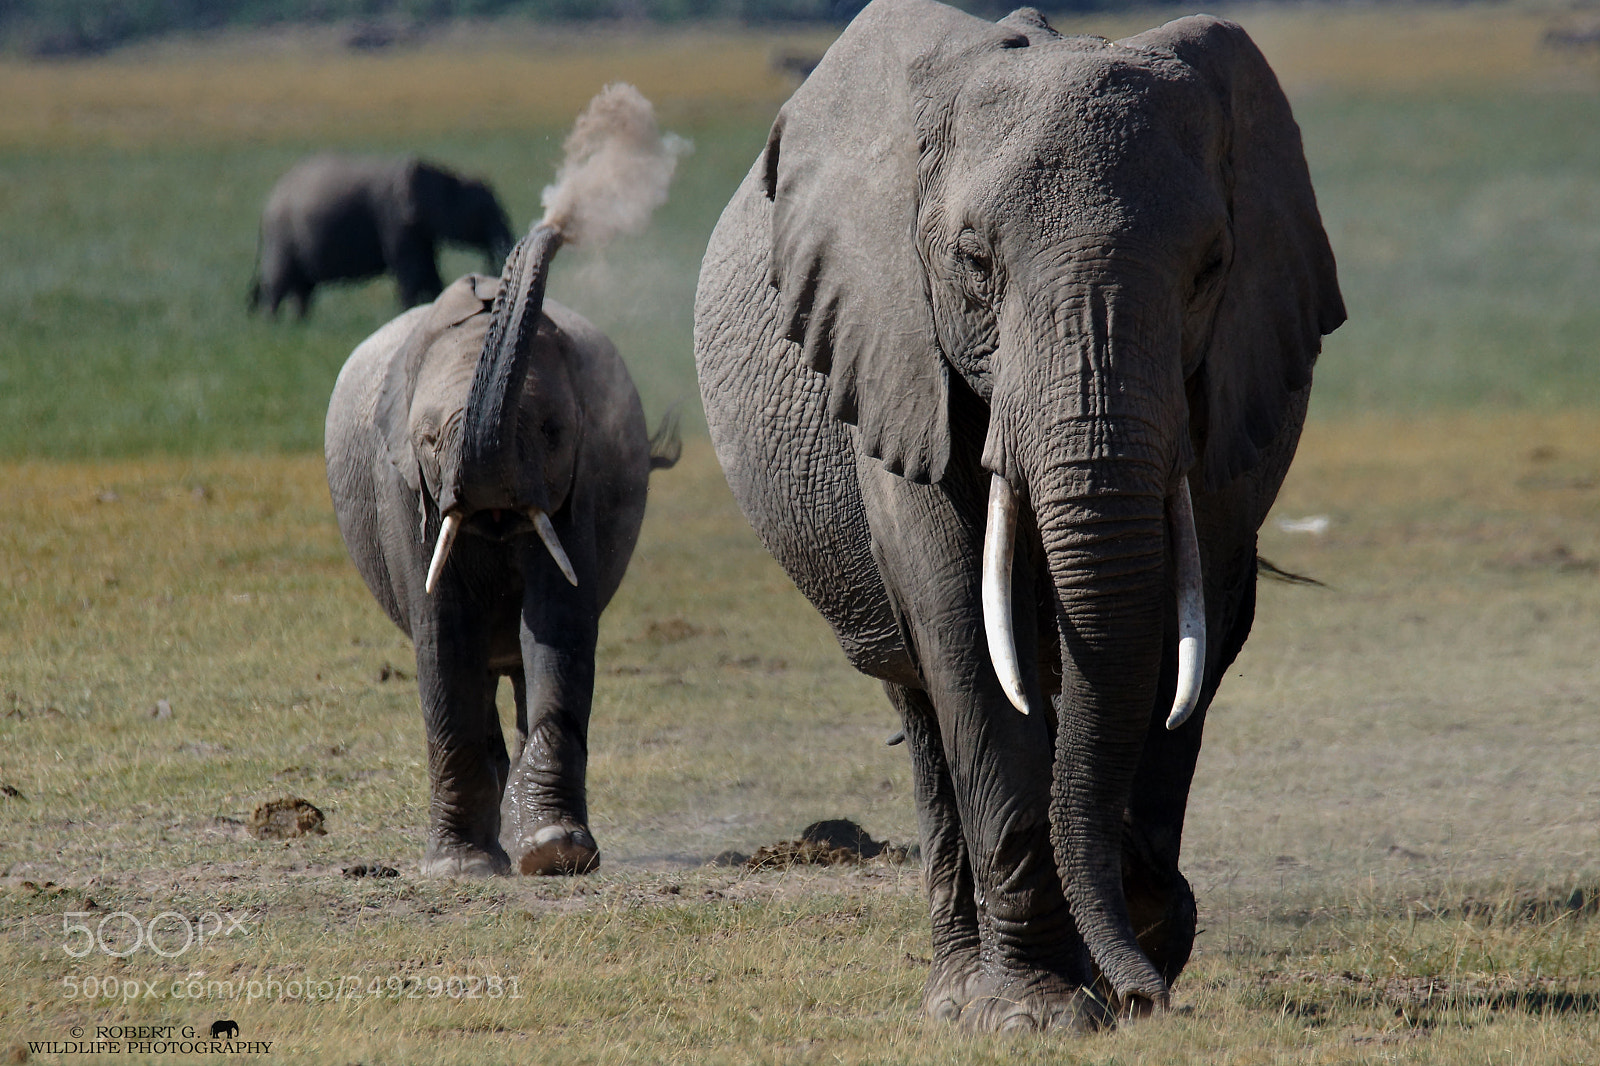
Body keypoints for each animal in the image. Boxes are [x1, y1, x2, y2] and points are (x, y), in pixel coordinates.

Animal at [251, 155, 515, 317]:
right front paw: (409, 311)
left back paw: (299, 323)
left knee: (302, 289)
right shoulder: (394, 218)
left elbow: (429, 271)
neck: (439, 173)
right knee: (278, 284)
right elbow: (412, 271)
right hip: (282, 236)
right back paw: (272, 327)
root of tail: (267, 204)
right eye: (483, 211)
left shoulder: (418, 229)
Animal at [326, 223, 679, 877]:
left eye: (551, 432)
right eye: (429, 439)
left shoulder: (581, 481)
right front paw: (459, 869)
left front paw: (556, 852)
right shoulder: (402, 488)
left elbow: (558, 624)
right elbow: (442, 635)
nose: (553, 228)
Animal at [694, 1, 1343, 1031]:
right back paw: (960, 990)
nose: (1144, 992)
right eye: (973, 262)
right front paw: (1035, 1011)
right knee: (925, 703)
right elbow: (959, 620)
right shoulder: (894, 352)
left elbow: (1182, 623)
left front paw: (1141, 930)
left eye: (1211, 268)